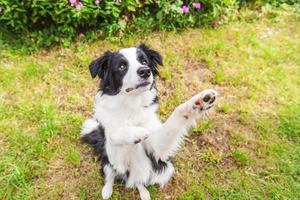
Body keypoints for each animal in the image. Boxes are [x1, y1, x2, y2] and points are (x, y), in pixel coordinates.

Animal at [79, 44, 216, 200]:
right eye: (121, 66)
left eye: (144, 61)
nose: (145, 71)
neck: (132, 104)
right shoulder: (115, 157)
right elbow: (114, 134)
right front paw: (136, 133)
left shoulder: (156, 147)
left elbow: (177, 115)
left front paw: (200, 101)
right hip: (108, 161)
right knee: (110, 175)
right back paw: (107, 190)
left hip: (165, 168)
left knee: (139, 181)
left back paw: (144, 193)